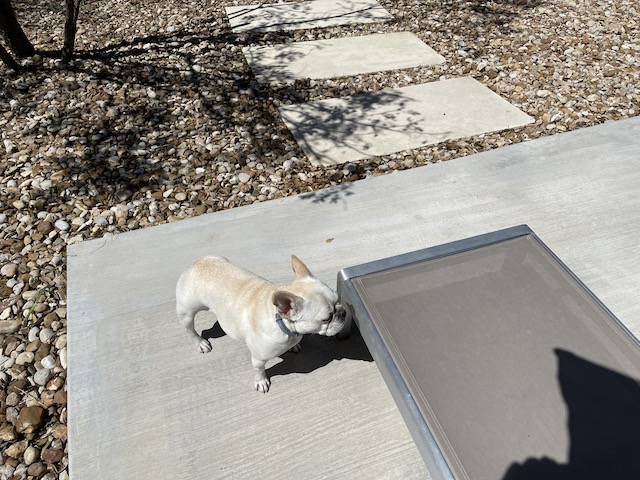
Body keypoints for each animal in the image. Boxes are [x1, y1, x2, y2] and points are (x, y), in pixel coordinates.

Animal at [176, 255, 346, 393]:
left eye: (338, 298)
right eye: (326, 318)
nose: (343, 312)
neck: (282, 322)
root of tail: (197, 263)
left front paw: (295, 346)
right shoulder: (258, 358)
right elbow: (259, 370)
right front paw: (261, 382)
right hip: (187, 313)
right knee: (190, 330)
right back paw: (200, 343)